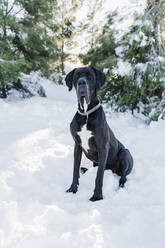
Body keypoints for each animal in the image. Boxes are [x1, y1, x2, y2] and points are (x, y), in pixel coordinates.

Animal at [65, 67, 133, 201]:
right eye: (77, 76)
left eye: (90, 76)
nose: (81, 83)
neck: (86, 113)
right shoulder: (77, 145)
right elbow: (75, 169)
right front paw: (73, 189)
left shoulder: (103, 148)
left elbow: (99, 176)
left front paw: (97, 196)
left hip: (125, 153)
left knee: (123, 177)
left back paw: (120, 186)